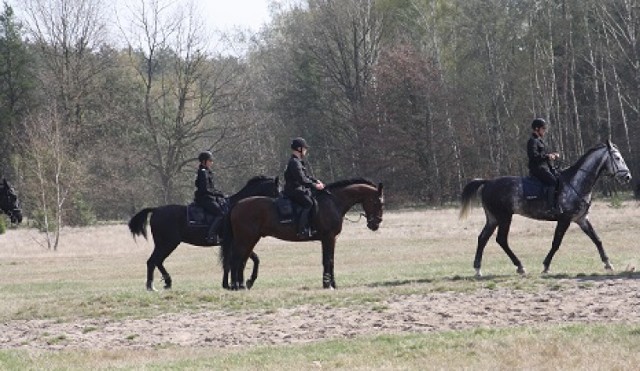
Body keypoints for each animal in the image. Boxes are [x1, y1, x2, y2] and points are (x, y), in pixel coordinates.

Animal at [128, 176, 280, 292]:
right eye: (277, 190)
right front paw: (239, 283)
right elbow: (236, 261)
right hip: (167, 243)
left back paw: (166, 283)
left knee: (157, 261)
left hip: (166, 244)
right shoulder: (234, 242)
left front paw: (234, 283)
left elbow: (251, 259)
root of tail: (156, 210)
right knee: (153, 261)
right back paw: (151, 286)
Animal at [220, 179, 384, 290]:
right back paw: (236, 285)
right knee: (235, 260)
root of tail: (237, 204)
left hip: (250, 239)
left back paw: (241, 285)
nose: (375, 224)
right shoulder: (328, 238)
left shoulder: (330, 239)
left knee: (241, 260)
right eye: (378, 203)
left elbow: (329, 260)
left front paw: (331, 283)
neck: (333, 202)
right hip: (245, 239)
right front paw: (328, 284)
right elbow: (328, 261)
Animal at [460, 141, 632, 278]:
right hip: (504, 217)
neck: (576, 183)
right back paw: (520, 267)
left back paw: (478, 269)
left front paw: (608, 264)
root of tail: (488, 182)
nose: (627, 177)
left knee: (483, 238)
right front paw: (545, 266)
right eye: (617, 158)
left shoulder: (581, 219)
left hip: (493, 218)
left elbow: (597, 239)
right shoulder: (564, 219)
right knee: (501, 239)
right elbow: (556, 243)